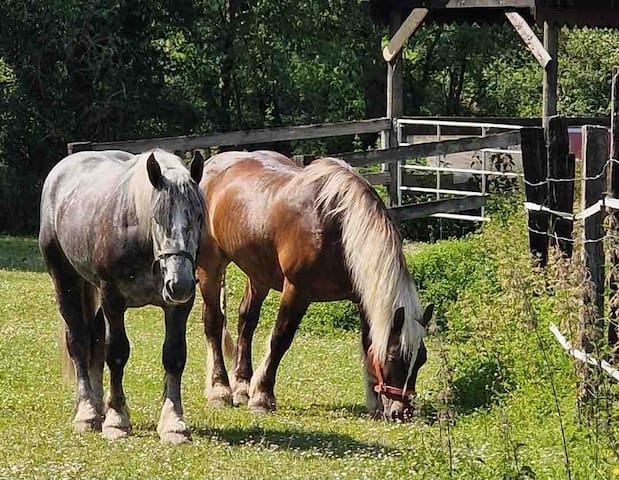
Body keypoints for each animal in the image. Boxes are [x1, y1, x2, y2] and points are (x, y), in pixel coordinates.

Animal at [38, 149, 203, 442]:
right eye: (157, 218)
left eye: (198, 217)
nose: (180, 283)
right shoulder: (113, 299)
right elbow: (116, 353)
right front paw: (117, 419)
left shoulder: (179, 307)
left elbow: (174, 356)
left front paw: (173, 423)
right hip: (66, 281)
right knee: (78, 342)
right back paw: (87, 412)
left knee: (94, 338)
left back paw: (96, 405)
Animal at [197, 150, 432, 420]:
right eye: (394, 356)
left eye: (422, 359)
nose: (401, 412)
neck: (338, 225)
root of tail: (211, 164)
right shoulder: (296, 290)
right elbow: (280, 339)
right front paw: (263, 397)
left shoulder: (362, 297)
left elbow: (368, 344)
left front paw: (374, 402)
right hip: (210, 266)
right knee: (214, 322)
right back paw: (220, 390)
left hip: (258, 274)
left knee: (246, 321)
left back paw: (243, 386)